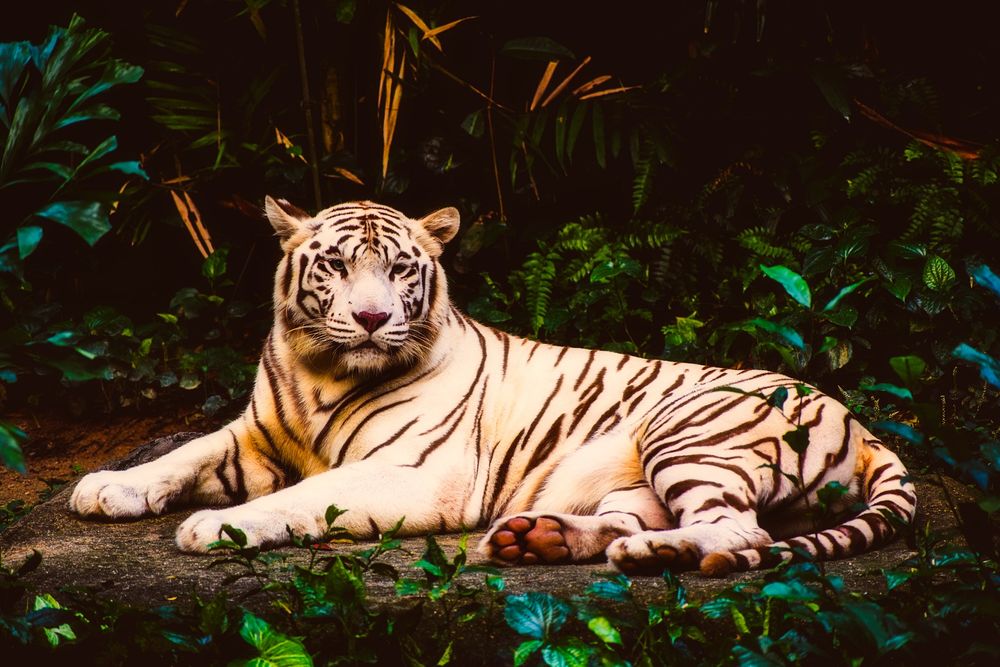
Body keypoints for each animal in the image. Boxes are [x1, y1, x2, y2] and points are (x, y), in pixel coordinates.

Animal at [69, 197, 917, 577]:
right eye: (336, 266)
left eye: (400, 270)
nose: (373, 318)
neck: (321, 370)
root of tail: (863, 424)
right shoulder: (255, 432)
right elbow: (183, 451)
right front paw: (107, 486)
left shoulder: (414, 471)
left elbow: (303, 496)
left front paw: (216, 526)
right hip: (635, 476)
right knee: (638, 519)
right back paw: (537, 537)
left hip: (689, 430)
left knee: (742, 531)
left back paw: (654, 553)